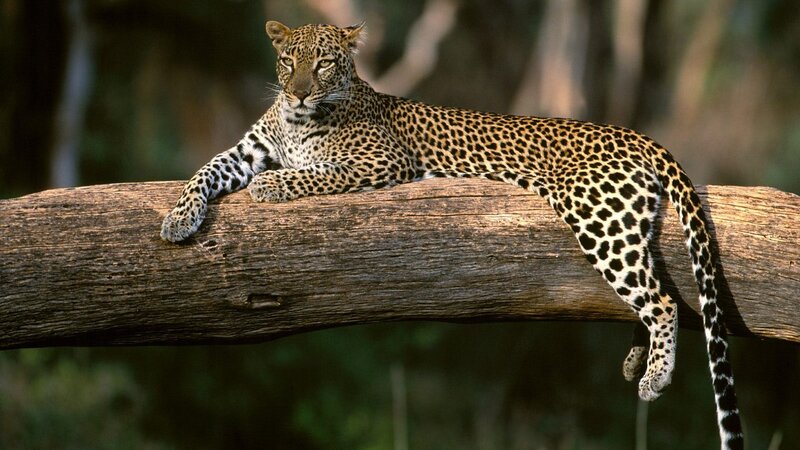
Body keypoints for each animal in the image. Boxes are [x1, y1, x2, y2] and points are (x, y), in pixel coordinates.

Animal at [160, 21, 743, 449]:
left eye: (323, 63)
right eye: (289, 61)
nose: (299, 93)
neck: (298, 121)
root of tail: (633, 132)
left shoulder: (379, 161)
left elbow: (310, 174)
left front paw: (271, 186)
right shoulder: (246, 151)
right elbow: (205, 170)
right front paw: (177, 220)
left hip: (597, 217)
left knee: (662, 300)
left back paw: (655, 377)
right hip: (622, 221)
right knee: (651, 287)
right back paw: (635, 358)